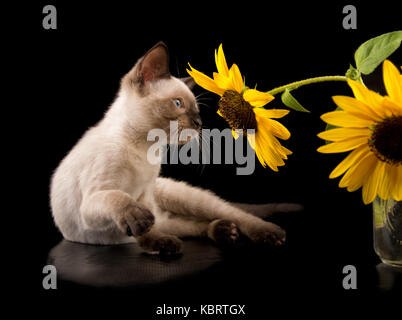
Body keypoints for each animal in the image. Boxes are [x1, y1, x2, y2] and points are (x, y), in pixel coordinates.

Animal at [50, 42, 298, 255]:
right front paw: (155, 238)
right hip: (164, 214)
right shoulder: (95, 200)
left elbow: (143, 225)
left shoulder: (145, 194)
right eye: (178, 104)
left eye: (197, 111)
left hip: (185, 199)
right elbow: (120, 200)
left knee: (232, 213)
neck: (146, 150)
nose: (199, 123)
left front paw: (155, 240)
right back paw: (218, 232)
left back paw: (264, 233)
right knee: (183, 225)